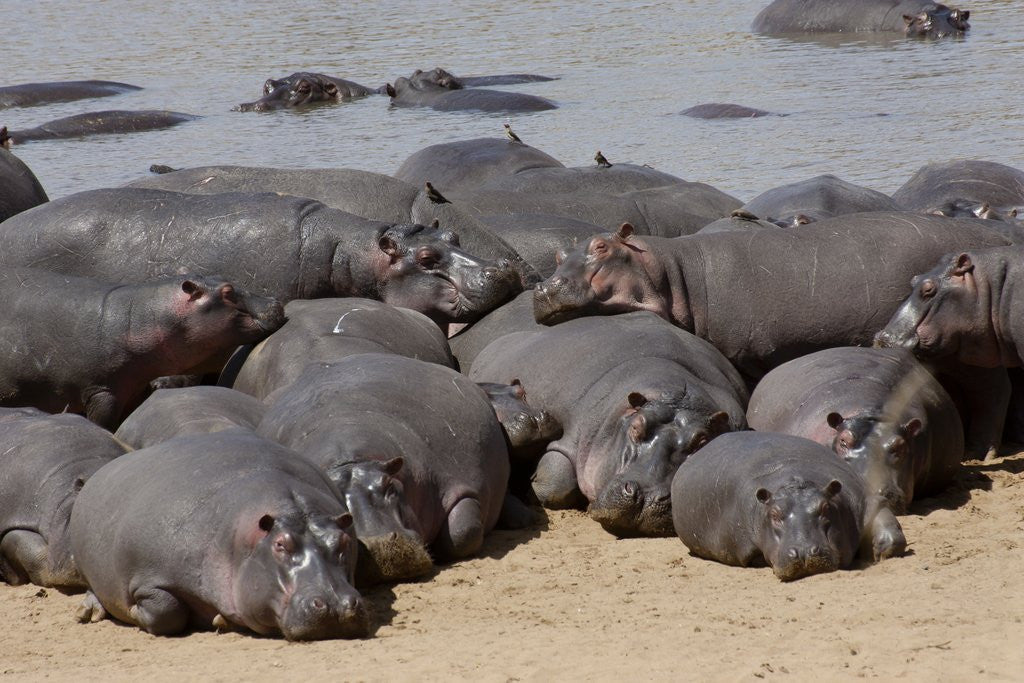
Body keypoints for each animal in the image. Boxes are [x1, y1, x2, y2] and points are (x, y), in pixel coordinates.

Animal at [0, 268, 283, 429]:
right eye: (227, 292)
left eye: (229, 280)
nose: (276, 302)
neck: (139, 318)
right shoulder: (102, 390)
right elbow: (103, 423)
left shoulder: (135, 388)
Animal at [71, 430, 368, 639]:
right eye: (280, 545)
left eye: (343, 542)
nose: (336, 605)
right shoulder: (147, 576)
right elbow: (167, 610)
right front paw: (133, 612)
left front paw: (220, 621)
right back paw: (88, 612)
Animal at [257, 354, 510, 576]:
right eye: (335, 503)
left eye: (389, 487)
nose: (379, 547)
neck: (351, 461)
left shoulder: (460, 484)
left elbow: (463, 532)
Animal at [469, 312, 748, 537]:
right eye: (636, 426)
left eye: (702, 442)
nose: (646, 497)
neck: (678, 394)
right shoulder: (572, 435)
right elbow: (557, 481)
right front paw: (532, 490)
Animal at [671, 432, 906, 581]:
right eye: (775, 514)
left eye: (825, 508)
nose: (803, 552)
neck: (796, 478)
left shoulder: (864, 500)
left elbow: (892, 537)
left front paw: (879, 553)